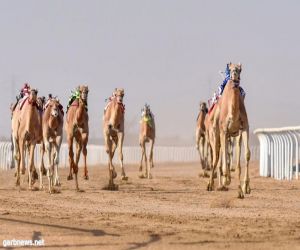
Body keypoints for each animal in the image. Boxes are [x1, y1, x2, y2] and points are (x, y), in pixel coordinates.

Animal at [206, 62, 251, 197]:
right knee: (216, 157)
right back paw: (212, 184)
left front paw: (244, 189)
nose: (234, 73)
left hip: (229, 135)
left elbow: (246, 155)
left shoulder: (244, 128)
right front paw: (226, 181)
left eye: (240, 69)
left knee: (223, 155)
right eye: (230, 69)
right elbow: (224, 158)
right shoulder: (224, 130)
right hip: (214, 135)